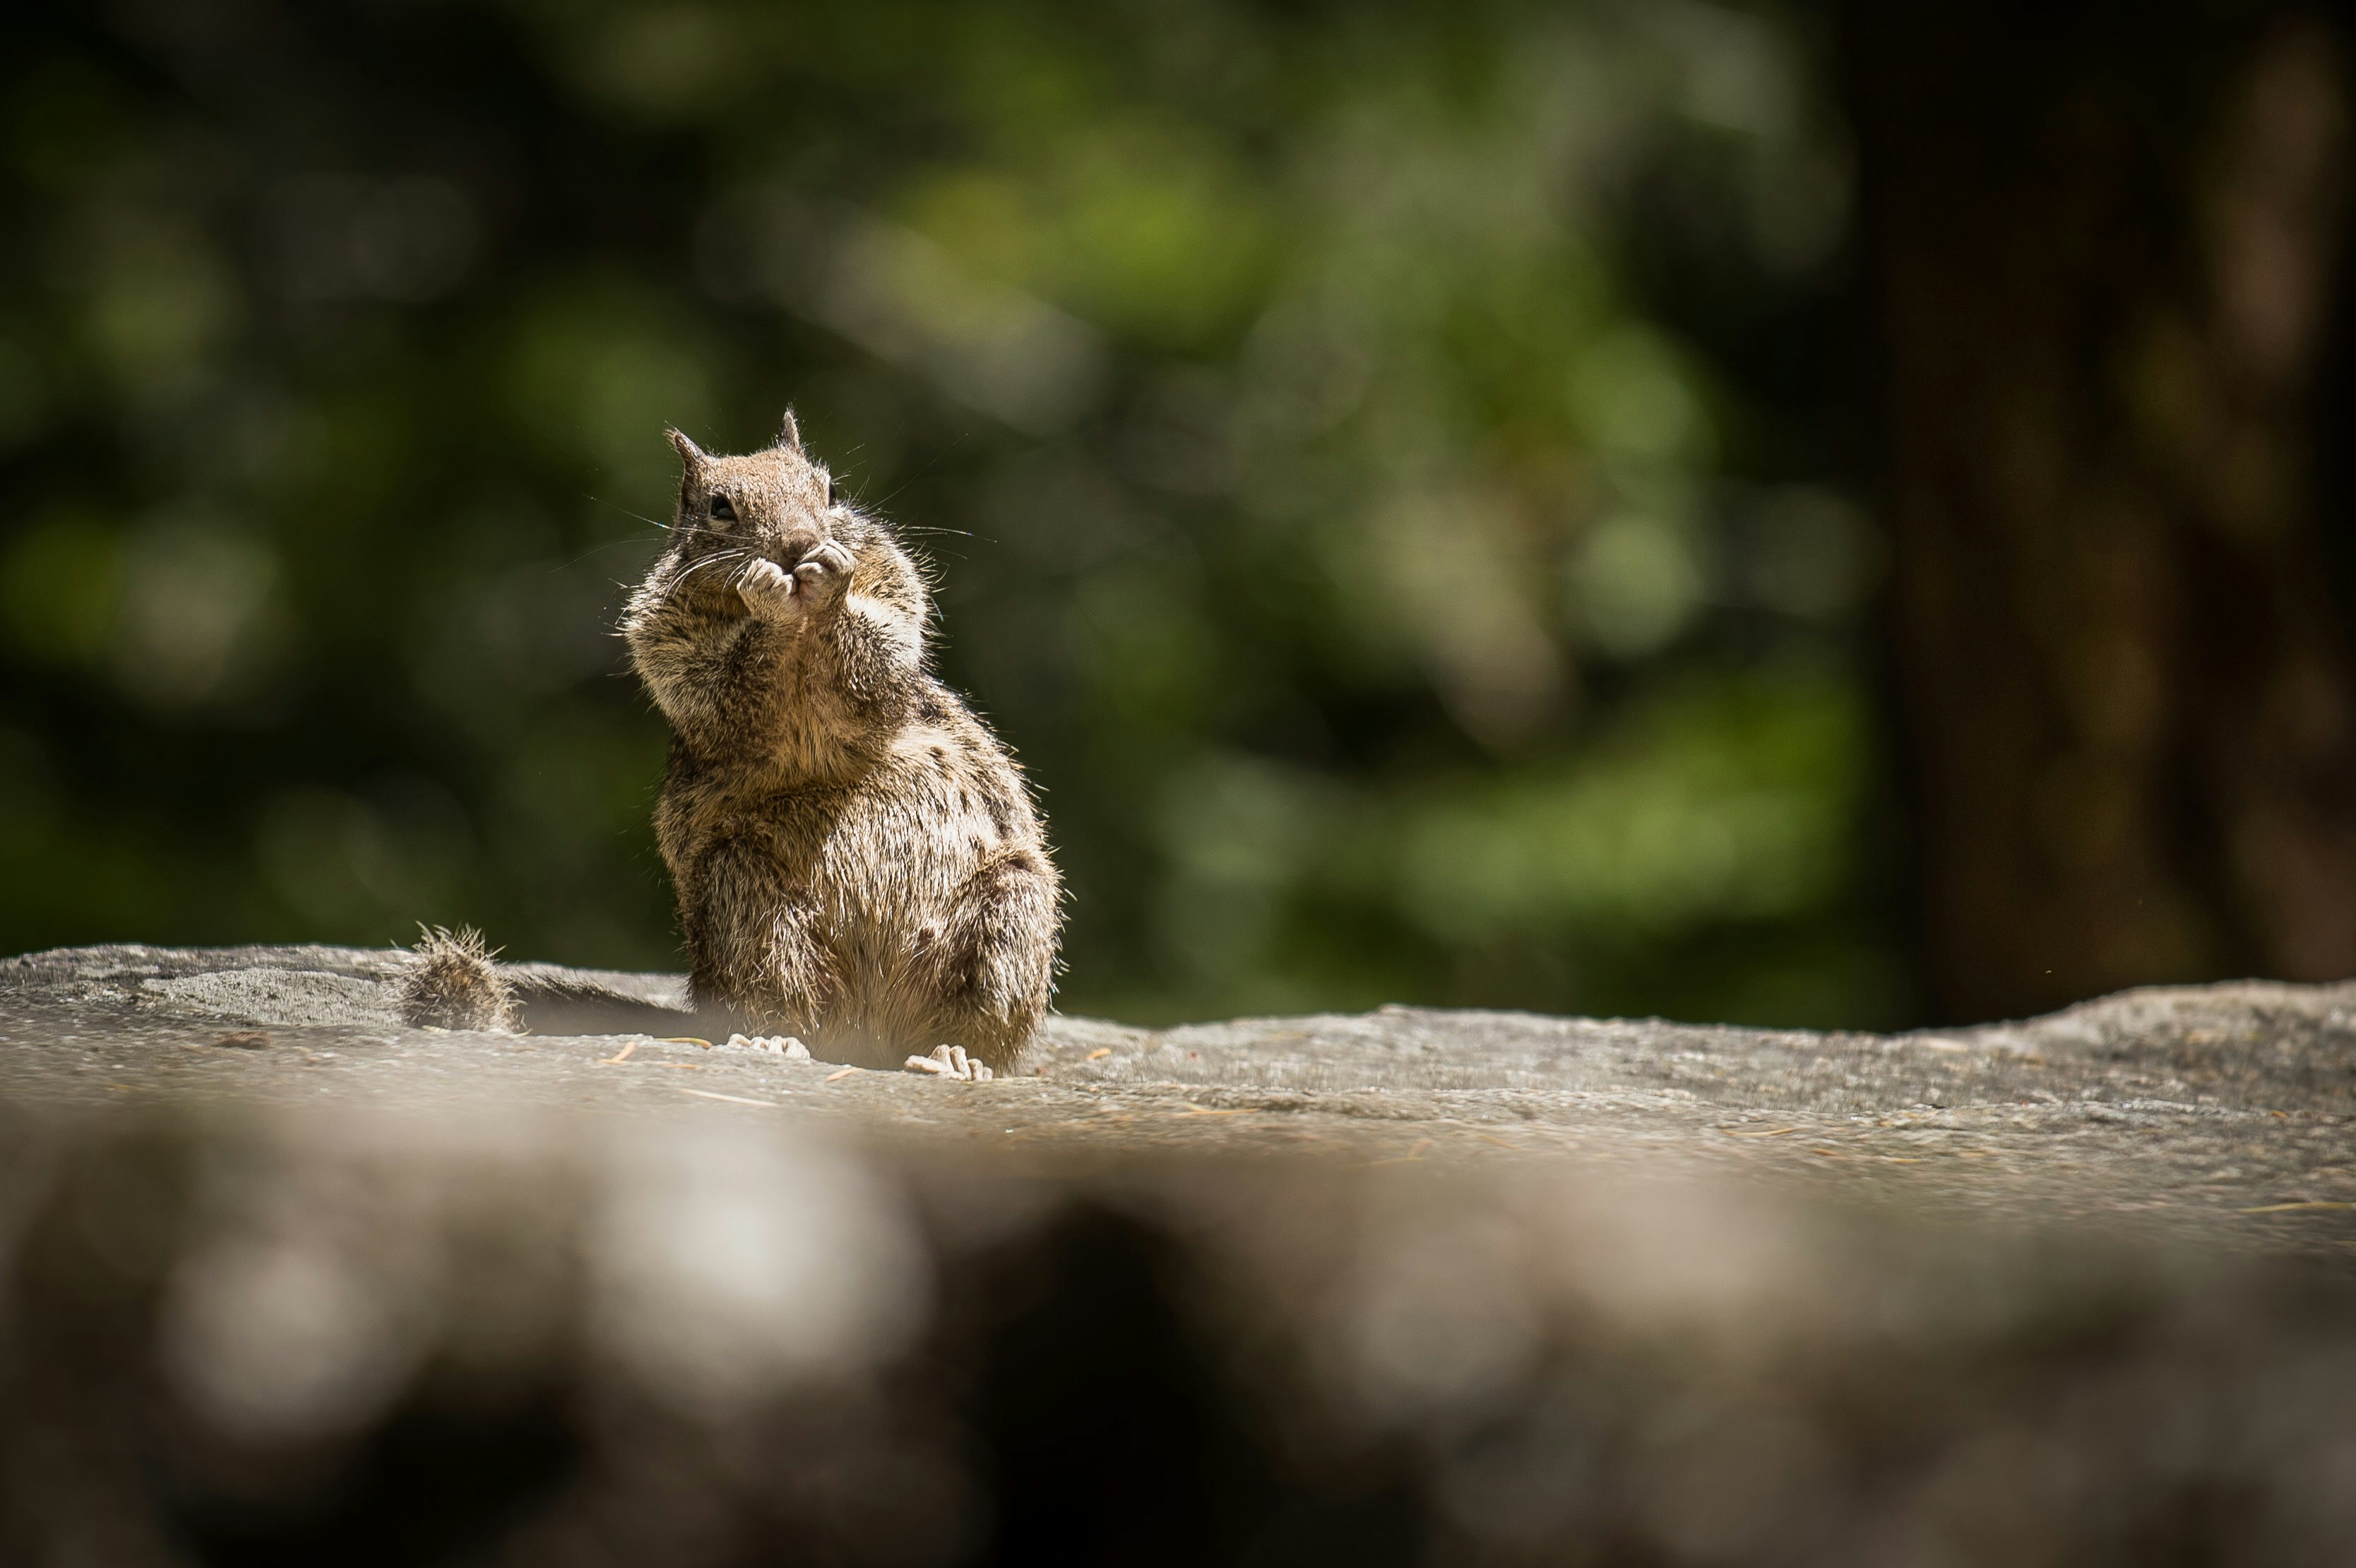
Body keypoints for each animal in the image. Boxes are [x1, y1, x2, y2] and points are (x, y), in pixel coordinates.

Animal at [400, 410, 1064, 1084]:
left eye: (830, 491)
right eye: (720, 508)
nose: (800, 545)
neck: (802, 631)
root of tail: (868, 1040)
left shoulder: (894, 613)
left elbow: (872, 665)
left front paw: (831, 580)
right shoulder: (671, 648)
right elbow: (729, 693)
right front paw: (766, 596)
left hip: (1011, 916)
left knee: (977, 1026)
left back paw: (954, 1056)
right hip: (742, 896)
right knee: (782, 1001)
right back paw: (776, 1042)